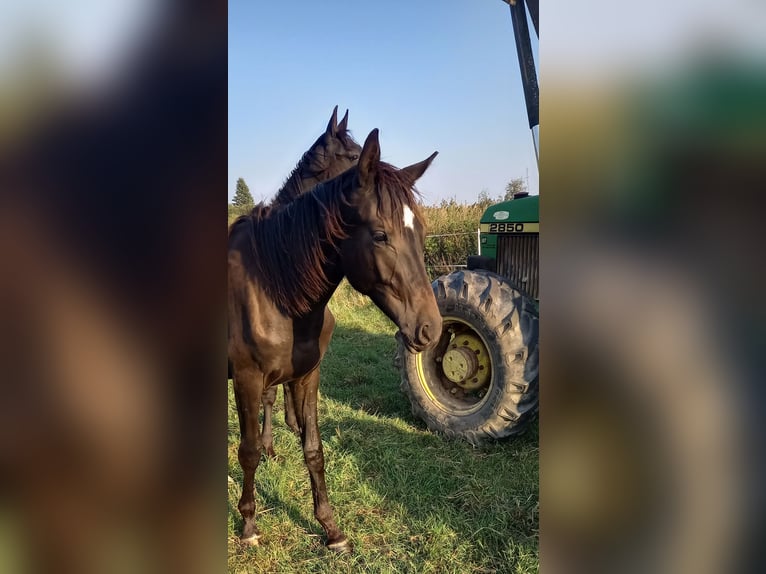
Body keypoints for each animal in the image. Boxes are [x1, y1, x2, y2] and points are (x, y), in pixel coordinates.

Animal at [228, 130, 440, 552]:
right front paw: (248, 525)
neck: (274, 286)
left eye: (422, 234)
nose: (431, 329)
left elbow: (313, 449)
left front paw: (331, 528)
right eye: (380, 235)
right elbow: (248, 451)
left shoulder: (307, 375)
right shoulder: (246, 379)